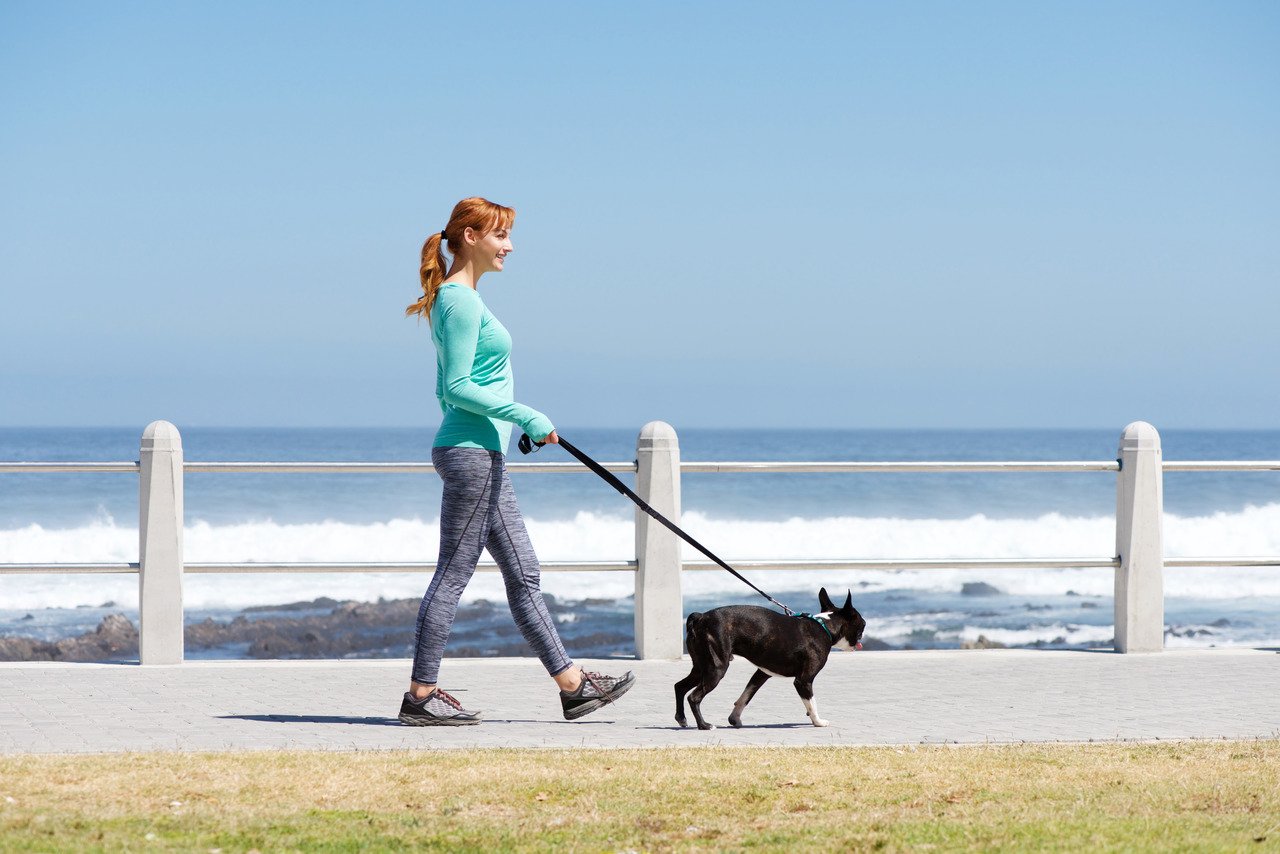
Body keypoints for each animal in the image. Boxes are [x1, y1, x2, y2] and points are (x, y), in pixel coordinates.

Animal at [675, 591, 865, 732]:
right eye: (862, 623)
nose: (864, 627)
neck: (824, 626)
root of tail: (701, 617)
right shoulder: (804, 680)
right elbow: (812, 702)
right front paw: (818, 721)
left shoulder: (761, 673)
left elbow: (746, 696)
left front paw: (734, 719)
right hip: (716, 669)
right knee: (694, 697)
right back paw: (703, 725)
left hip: (701, 667)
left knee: (680, 686)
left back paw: (682, 718)